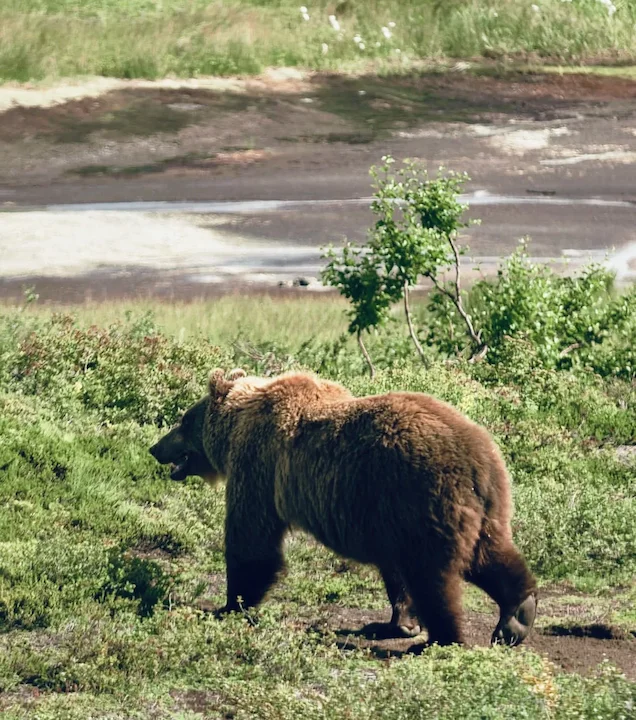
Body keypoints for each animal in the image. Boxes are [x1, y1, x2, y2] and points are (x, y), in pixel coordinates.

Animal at [149, 368, 537, 647]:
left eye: (184, 419)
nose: (155, 448)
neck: (237, 426)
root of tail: (479, 458)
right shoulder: (383, 515)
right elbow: (393, 572)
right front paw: (399, 622)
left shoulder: (260, 467)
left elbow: (251, 540)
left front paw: (230, 604)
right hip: (481, 507)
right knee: (490, 555)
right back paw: (517, 615)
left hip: (423, 497)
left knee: (433, 577)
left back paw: (441, 640)